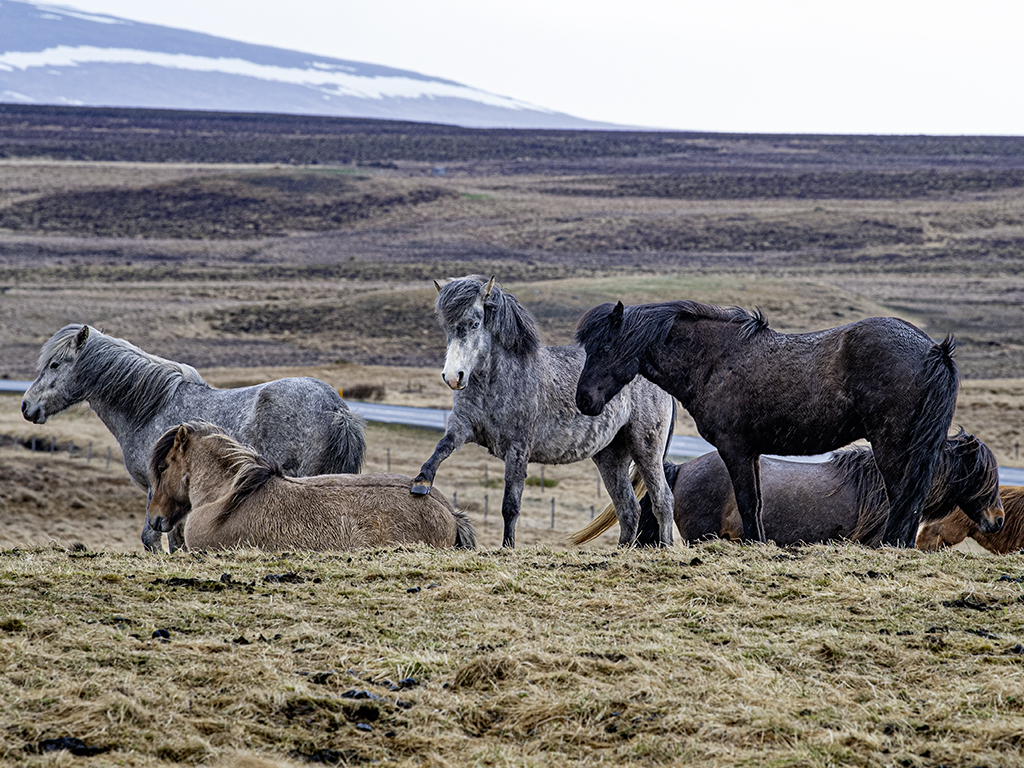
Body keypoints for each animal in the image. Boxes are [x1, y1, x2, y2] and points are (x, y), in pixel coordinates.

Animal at [20, 325, 368, 552]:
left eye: (54, 364)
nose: (27, 406)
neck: (152, 407)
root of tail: (336, 407)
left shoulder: (157, 488)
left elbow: (153, 538)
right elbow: (176, 540)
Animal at [407, 274, 679, 548]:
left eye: (474, 324)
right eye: (447, 326)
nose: (453, 377)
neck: (497, 380)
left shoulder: (517, 448)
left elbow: (510, 505)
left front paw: (508, 546)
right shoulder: (463, 425)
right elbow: (442, 447)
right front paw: (421, 482)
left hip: (645, 449)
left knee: (662, 500)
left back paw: (665, 546)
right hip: (611, 456)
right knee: (628, 509)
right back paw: (621, 550)